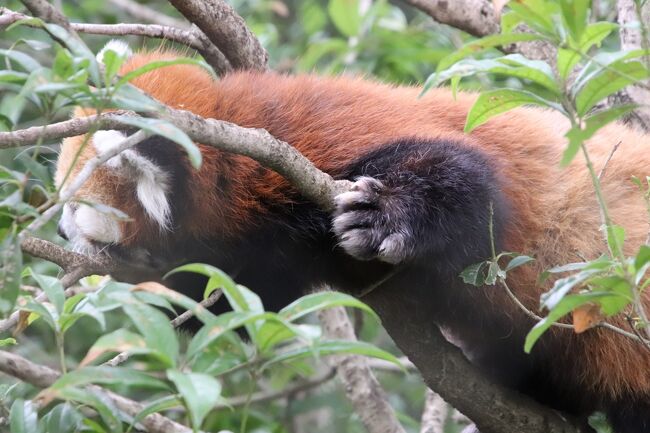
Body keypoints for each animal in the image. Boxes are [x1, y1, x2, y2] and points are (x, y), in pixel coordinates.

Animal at [54, 44, 648, 432]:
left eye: (73, 206)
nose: (58, 229)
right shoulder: (266, 247)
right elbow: (242, 304)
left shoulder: (317, 140)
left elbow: (474, 185)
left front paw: (384, 218)